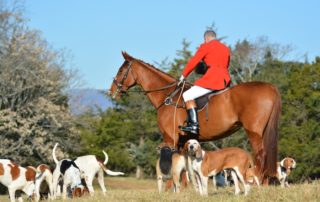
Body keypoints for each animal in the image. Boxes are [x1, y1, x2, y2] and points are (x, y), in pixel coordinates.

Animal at [109, 52, 280, 180]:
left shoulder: (170, 139)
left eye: (121, 70)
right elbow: (184, 169)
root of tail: (270, 87)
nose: (111, 91)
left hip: (254, 132)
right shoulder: (182, 142)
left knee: (261, 156)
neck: (167, 95)